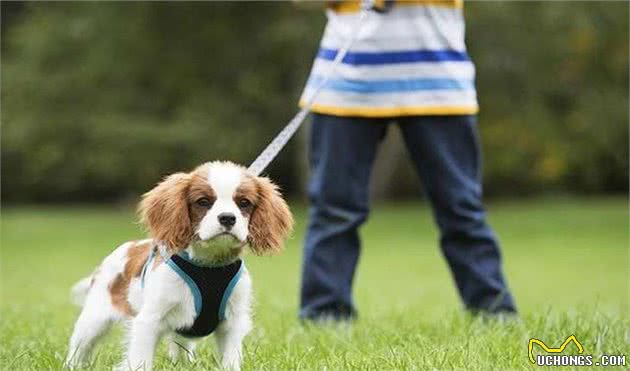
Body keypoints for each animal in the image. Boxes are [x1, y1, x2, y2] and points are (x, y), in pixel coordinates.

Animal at [65, 162, 292, 371]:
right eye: (203, 201)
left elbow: (230, 359)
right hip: (94, 319)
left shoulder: (233, 323)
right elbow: (140, 360)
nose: (228, 218)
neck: (209, 266)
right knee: (79, 347)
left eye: (244, 203)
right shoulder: (149, 321)